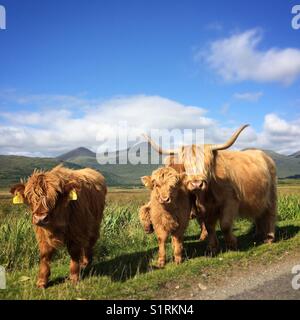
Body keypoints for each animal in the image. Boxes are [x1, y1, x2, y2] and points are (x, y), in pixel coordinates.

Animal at [144, 126, 278, 254]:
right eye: (186, 165)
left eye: (207, 164)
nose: (197, 184)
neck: (208, 194)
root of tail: (264, 155)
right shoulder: (204, 208)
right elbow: (208, 226)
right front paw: (212, 247)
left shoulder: (231, 201)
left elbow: (225, 225)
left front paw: (232, 244)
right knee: (259, 213)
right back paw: (257, 234)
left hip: (271, 193)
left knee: (270, 213)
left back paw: (269, 237)